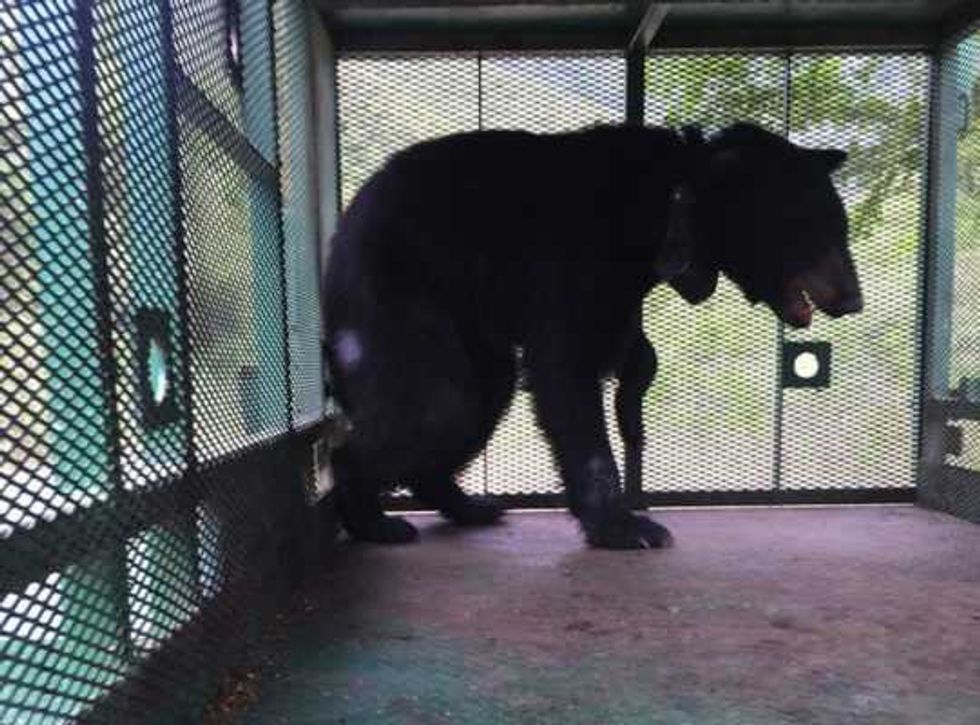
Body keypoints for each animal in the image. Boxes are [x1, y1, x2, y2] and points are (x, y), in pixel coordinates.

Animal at [321, 122, 863, 550]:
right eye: (816, 228)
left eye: (840, 226)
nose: (853, 299)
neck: (667, 205)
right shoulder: (570, 253)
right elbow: (565, 366)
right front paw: (627, 527)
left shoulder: (621, 284)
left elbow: (619, 353)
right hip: (399, 289)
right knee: (435, 398)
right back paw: (373, 519)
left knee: (482, 393)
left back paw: (468, 505)